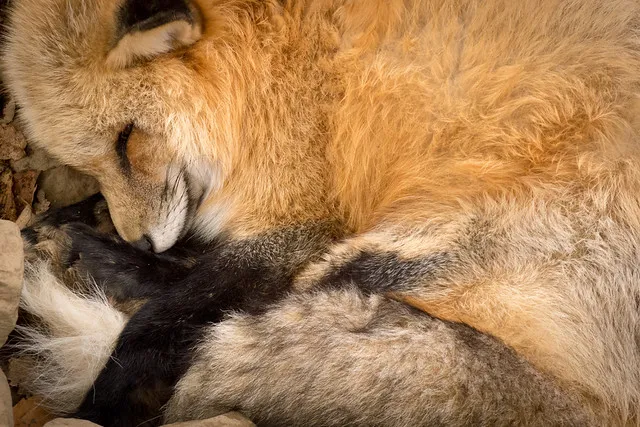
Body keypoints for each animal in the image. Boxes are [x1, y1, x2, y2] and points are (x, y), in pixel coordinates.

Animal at [3, 0, 640, 425]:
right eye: (92, 163)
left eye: (127, 140)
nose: (139, 241)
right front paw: (82, 221)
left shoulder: (309, 213)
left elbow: (176, 309)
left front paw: (104, 397)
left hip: (422, 241)